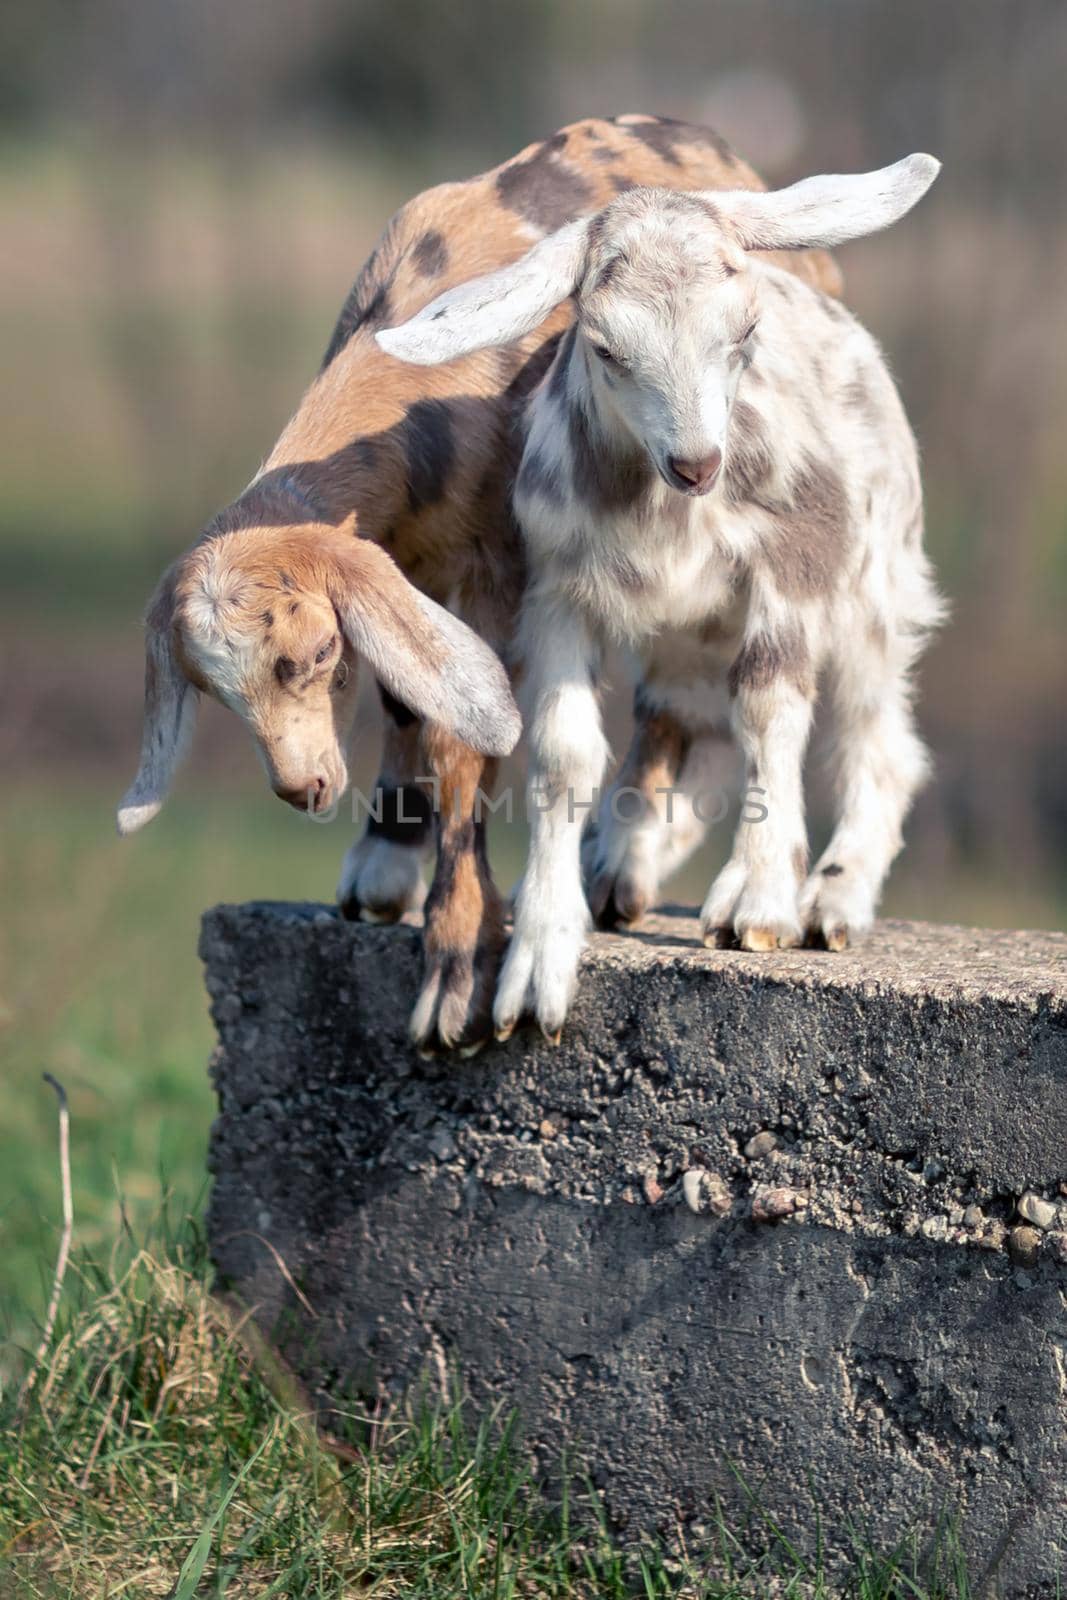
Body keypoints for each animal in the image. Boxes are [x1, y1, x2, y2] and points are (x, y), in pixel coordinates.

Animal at [120, 118, 844, 1056]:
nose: (302, 789)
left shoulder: (501, 569)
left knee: (676, 688)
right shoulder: (398, 562)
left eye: (314, 654)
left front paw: (456, 970)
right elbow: (407, 704)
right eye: (208, 687)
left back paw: (627, 861)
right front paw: (385, 864)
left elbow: (463, 744)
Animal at [379, 156, 947, 1036]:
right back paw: (619, 865)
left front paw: (756, 907)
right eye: (605, 347)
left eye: (744, 332)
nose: (696, 464)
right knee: (688, 720)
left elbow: (770, 708)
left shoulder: (791, 563)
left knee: (877, 738)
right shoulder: (556, 590)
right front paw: (538, 960)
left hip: (875, 581)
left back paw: (832, 900)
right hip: (693, 630)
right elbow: (563, 751)